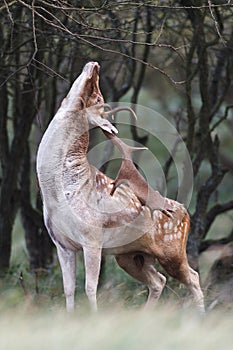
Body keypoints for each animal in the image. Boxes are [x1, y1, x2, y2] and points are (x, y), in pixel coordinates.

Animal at [36, 60, 204, 314]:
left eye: (98, 97)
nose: (94, 64)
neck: (56, 195)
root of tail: (186, 212)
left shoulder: (92, 237)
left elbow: (90, 288)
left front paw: (94, 318)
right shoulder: (61, 243)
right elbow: (68, 290)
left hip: (172, 250)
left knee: (193, 276)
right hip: (130, 256)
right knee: (159, 280)